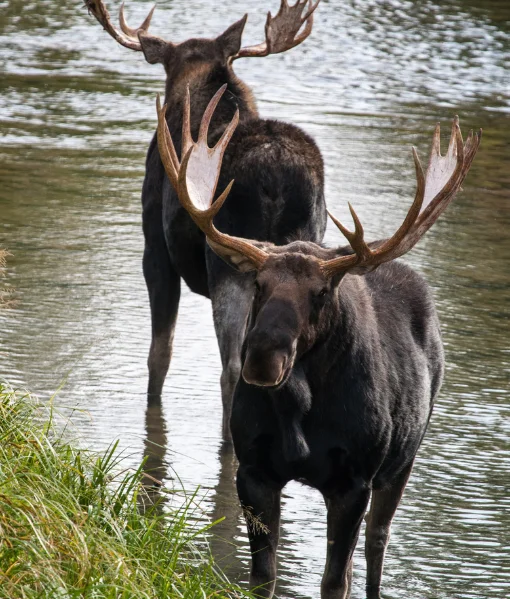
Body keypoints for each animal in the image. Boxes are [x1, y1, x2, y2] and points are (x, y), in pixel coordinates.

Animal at [156, 89, 482, 599]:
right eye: (259, 284)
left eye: (322, 293)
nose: (263, 357)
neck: (300, 409)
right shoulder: (254, 471)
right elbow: (263, 578)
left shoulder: (353, 481)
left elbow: (334, 582)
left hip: (403, 458)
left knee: (377, 544)